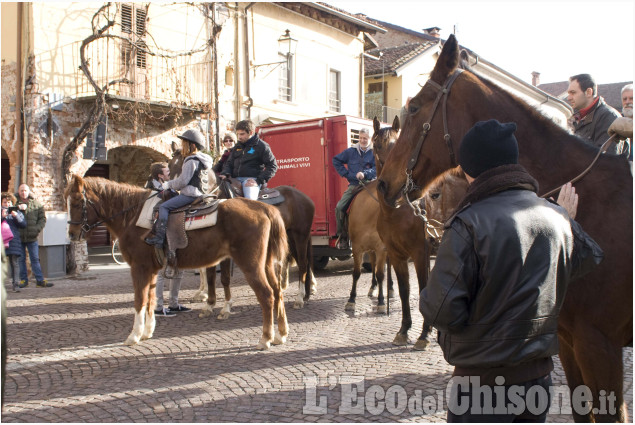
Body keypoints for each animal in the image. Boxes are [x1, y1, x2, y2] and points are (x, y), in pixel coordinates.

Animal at [65, 174, 290, 350]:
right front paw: (147, 331)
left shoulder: (139, 268)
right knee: (277, 291)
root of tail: (263, 208)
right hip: (267, 264)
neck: (133, 216)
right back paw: (280, 334)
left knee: (267, 295)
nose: (72, 234)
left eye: (76, 203)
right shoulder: (152, 270)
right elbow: (151, 299)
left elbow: (140, 300)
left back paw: (265, 338)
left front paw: (134, 335)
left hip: (251, 265)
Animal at [169, 148, 318, 312]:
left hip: (300, 235)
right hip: (291, 237)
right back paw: (305, 293)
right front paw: (207, 301)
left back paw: (300, 297)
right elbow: (209, 273)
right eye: (169, 166)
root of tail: (304, 197)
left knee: (303, 263)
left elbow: (222, 276)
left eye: (183, 168)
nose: (172, 193)